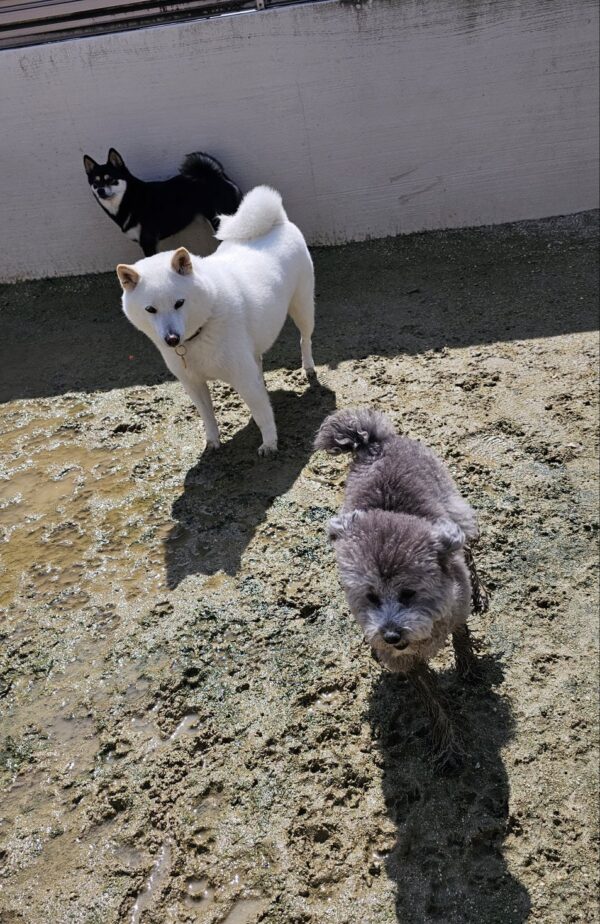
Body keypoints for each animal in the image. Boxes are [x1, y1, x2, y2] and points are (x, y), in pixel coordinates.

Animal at [83, 148, 241, 256]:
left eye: (111, 180)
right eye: (95, 183)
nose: (100, 191)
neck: (130, 199)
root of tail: (216, 175)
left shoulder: (147, 241)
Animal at [116, 186, 315, 455]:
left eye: (179, 303)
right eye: (150, 309)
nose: (171, 339)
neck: (198, 333)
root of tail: (279, 221)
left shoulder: (242, 376)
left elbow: (262, 413)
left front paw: (269, 442)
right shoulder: (193, 382)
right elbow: (207, 415)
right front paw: (212, 442)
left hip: (303, 307)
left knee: (305, 339)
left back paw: (309, 367)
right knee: (259, 363)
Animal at [315, 408, 488, 767]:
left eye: (408, 593)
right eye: (370, 597)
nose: (391, 637)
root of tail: (375, 441)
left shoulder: (456, 609)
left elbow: (462, 638)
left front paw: (469, 669)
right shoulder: (407, 663)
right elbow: (433, 701)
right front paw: (448, 745)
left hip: (455, 511)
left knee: (466, 547)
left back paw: (481, 592)